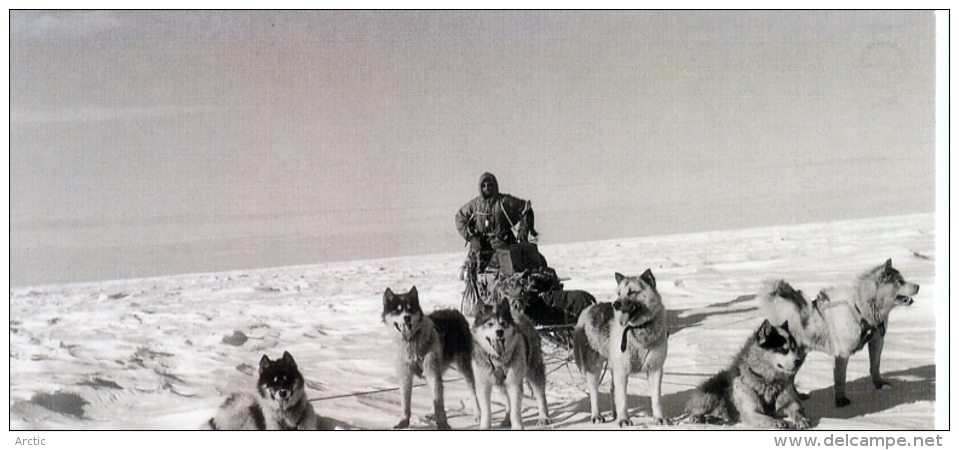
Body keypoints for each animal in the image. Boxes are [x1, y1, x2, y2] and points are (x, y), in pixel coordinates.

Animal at [378, 286, 476, 430]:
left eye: (410, 308)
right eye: (397, 310)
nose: (407, 317)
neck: (411, 343)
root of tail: (455, 311)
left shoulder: (431, 372)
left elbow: (439, 401)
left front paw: (443, 425)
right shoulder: (405, 375)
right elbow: (406, 402)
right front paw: (404, 422)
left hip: (462, 365)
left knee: (471, 390)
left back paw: (478, 414)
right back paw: (431, 413)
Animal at [470, 298, 548, 428]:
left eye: (503, 323)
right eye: (490, 324)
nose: (499, 332)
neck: (497, 360)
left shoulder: (514, 383)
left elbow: (515, 412)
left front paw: (517, 427)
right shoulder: (483, 384)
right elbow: (487, 412)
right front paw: (485, 426)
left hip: (534, 371)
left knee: (540, 395)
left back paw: (544, 417)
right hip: (501, 384)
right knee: (507, 402)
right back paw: (506, 420)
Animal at [568, 268, 668, 428]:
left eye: (632, 292)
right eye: (619, 293)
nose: (616, 304)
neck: (638, 329)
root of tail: (590, 308)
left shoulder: (655, 369)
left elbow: (656, 398)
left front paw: (659, 418)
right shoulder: (622, 371)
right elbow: (623, 399)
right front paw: (623, 419)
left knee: (612, 390)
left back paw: (614, 414)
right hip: (594, 368)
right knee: (594, 394)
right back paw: (597, 416)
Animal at [764, 258, 924, 406]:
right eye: (900, 282)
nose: (918, 286)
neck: (861, 309)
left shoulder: (876, 341)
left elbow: (875, 366)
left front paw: (879, 385)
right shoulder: (842, 354)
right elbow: (841, 378)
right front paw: (841, 400)